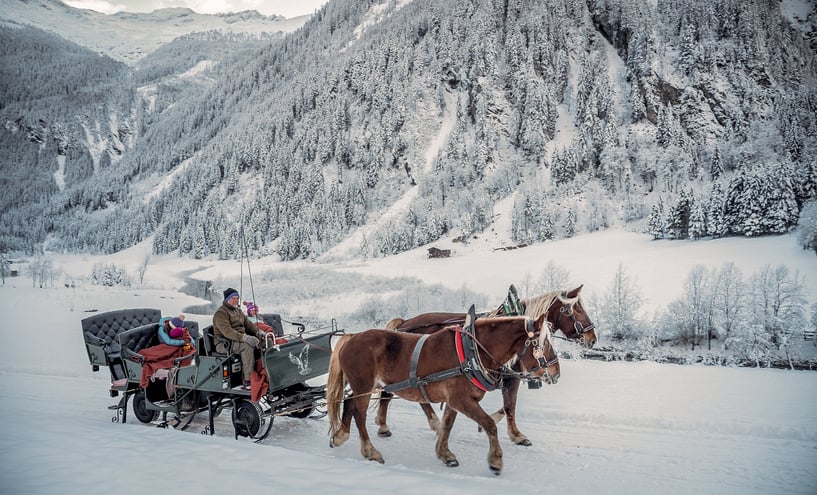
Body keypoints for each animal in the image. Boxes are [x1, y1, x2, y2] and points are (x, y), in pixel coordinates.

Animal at [328, 306, 556, 476]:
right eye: (544, 344)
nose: (556, 372)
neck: (473, 351)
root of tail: (351, 337)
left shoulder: (455, 400)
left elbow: (448, 425)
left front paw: (445, 454)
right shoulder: (461, 399)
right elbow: (489, 424)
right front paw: (495, 461)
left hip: (367, 386)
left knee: (350, 402)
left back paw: (341, 435)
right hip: (364, 385)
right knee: (359, 413)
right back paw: (370, 451)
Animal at [376, 284, 592, 448]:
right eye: (577, 309)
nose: (592, 337)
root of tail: (405, 322)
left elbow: (507, 406)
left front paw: (498, 425)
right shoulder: (510, 377)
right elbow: (510, 405)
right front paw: (516, 435)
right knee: (392, 393)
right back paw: (388, 426)